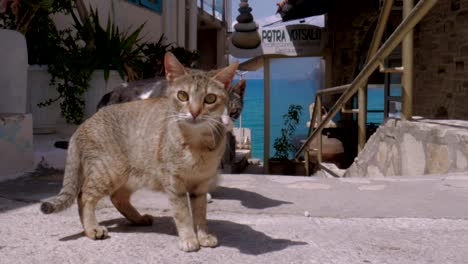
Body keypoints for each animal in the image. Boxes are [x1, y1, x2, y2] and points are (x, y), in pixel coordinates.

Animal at [40, 52, 239, 252]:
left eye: (210, 98)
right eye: (183, 95)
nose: (195, 112)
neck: (196, 144)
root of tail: (82, 125)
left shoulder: (200, 186)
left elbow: (200, 214)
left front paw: (203, 236)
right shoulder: (175, 185)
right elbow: (183, 214)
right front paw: (189, 239)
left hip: (131, 175)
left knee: (117, 198)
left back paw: (138, 218)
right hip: (108, 172)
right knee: (84, 197)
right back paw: (92, 229)